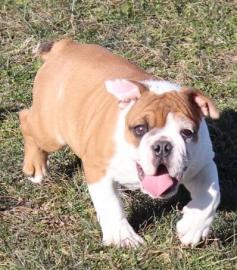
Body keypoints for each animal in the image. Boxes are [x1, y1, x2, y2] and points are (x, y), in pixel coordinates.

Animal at [19, 39, 220, 248]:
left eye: (187, 132)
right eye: (139, 129)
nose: (162, 146)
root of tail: (65, 46)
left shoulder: (203, 164)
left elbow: (213, 196)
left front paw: (193, 227)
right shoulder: (98, 169)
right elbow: (110, 204)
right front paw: (122, 236)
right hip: (51, 132)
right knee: (26, 120)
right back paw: (35, 167)